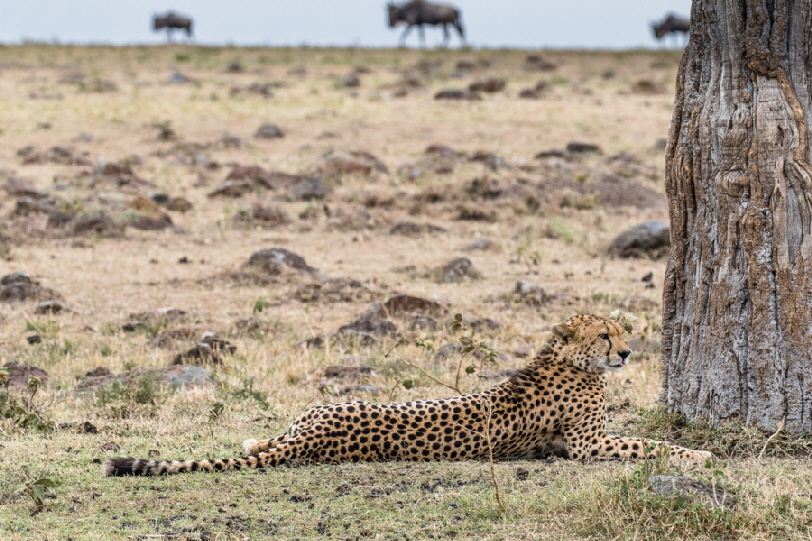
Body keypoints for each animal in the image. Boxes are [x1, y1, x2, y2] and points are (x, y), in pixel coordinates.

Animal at [101, 312, 712, 476]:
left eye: (621, 331)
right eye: (604, 335)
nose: (627, 353)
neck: (565, 359)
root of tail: (309, 436)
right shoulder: (588, 446)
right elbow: (647, 444)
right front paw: (701, 454)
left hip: (307, 415)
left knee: (259, 442)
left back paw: (254, 441)